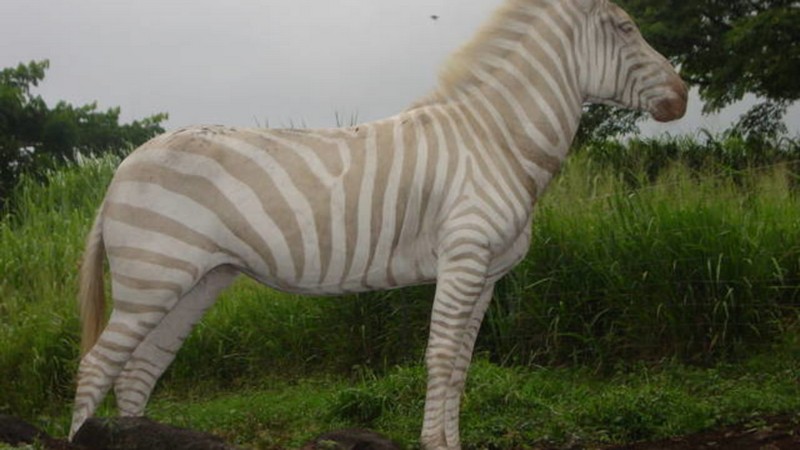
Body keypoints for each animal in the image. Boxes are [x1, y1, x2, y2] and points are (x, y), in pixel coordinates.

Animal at [69, 0, 687, 448]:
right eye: (626, 27)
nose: (683, 97)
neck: (496, 141)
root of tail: (123, 167)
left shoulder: (487, 273)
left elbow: (461, 364)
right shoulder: (464, 258)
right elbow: (441, 357)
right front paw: (436, 444)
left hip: (197, 279)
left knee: (140, 368)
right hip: (154, 273)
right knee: (97, 364)